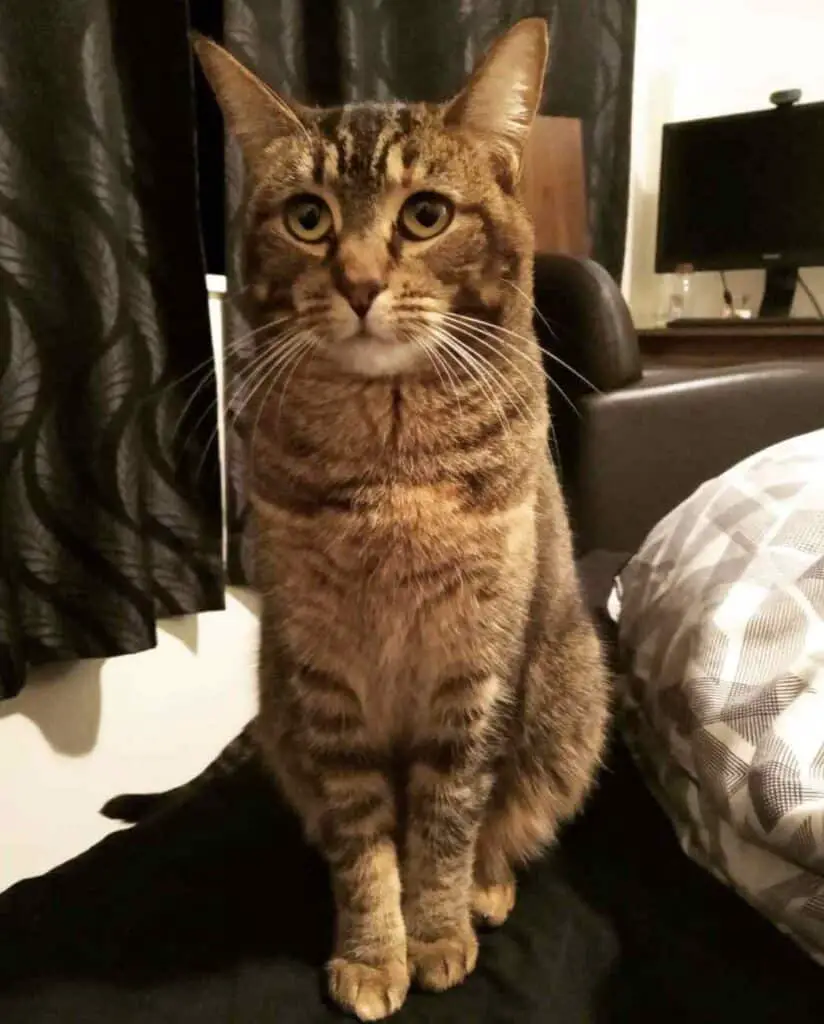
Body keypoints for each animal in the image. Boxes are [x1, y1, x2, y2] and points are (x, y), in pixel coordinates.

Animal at [114, 22, 610, 1024]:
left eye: (425, 215)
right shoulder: (323, 679)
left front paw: (438, 932)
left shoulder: (474, 674)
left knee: (507, 824)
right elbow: (362, 842)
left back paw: (488, 891)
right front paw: (377, 952)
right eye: (308, 218)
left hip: (573, 698)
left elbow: (449, 825)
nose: (359, 283)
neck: (390, 463)